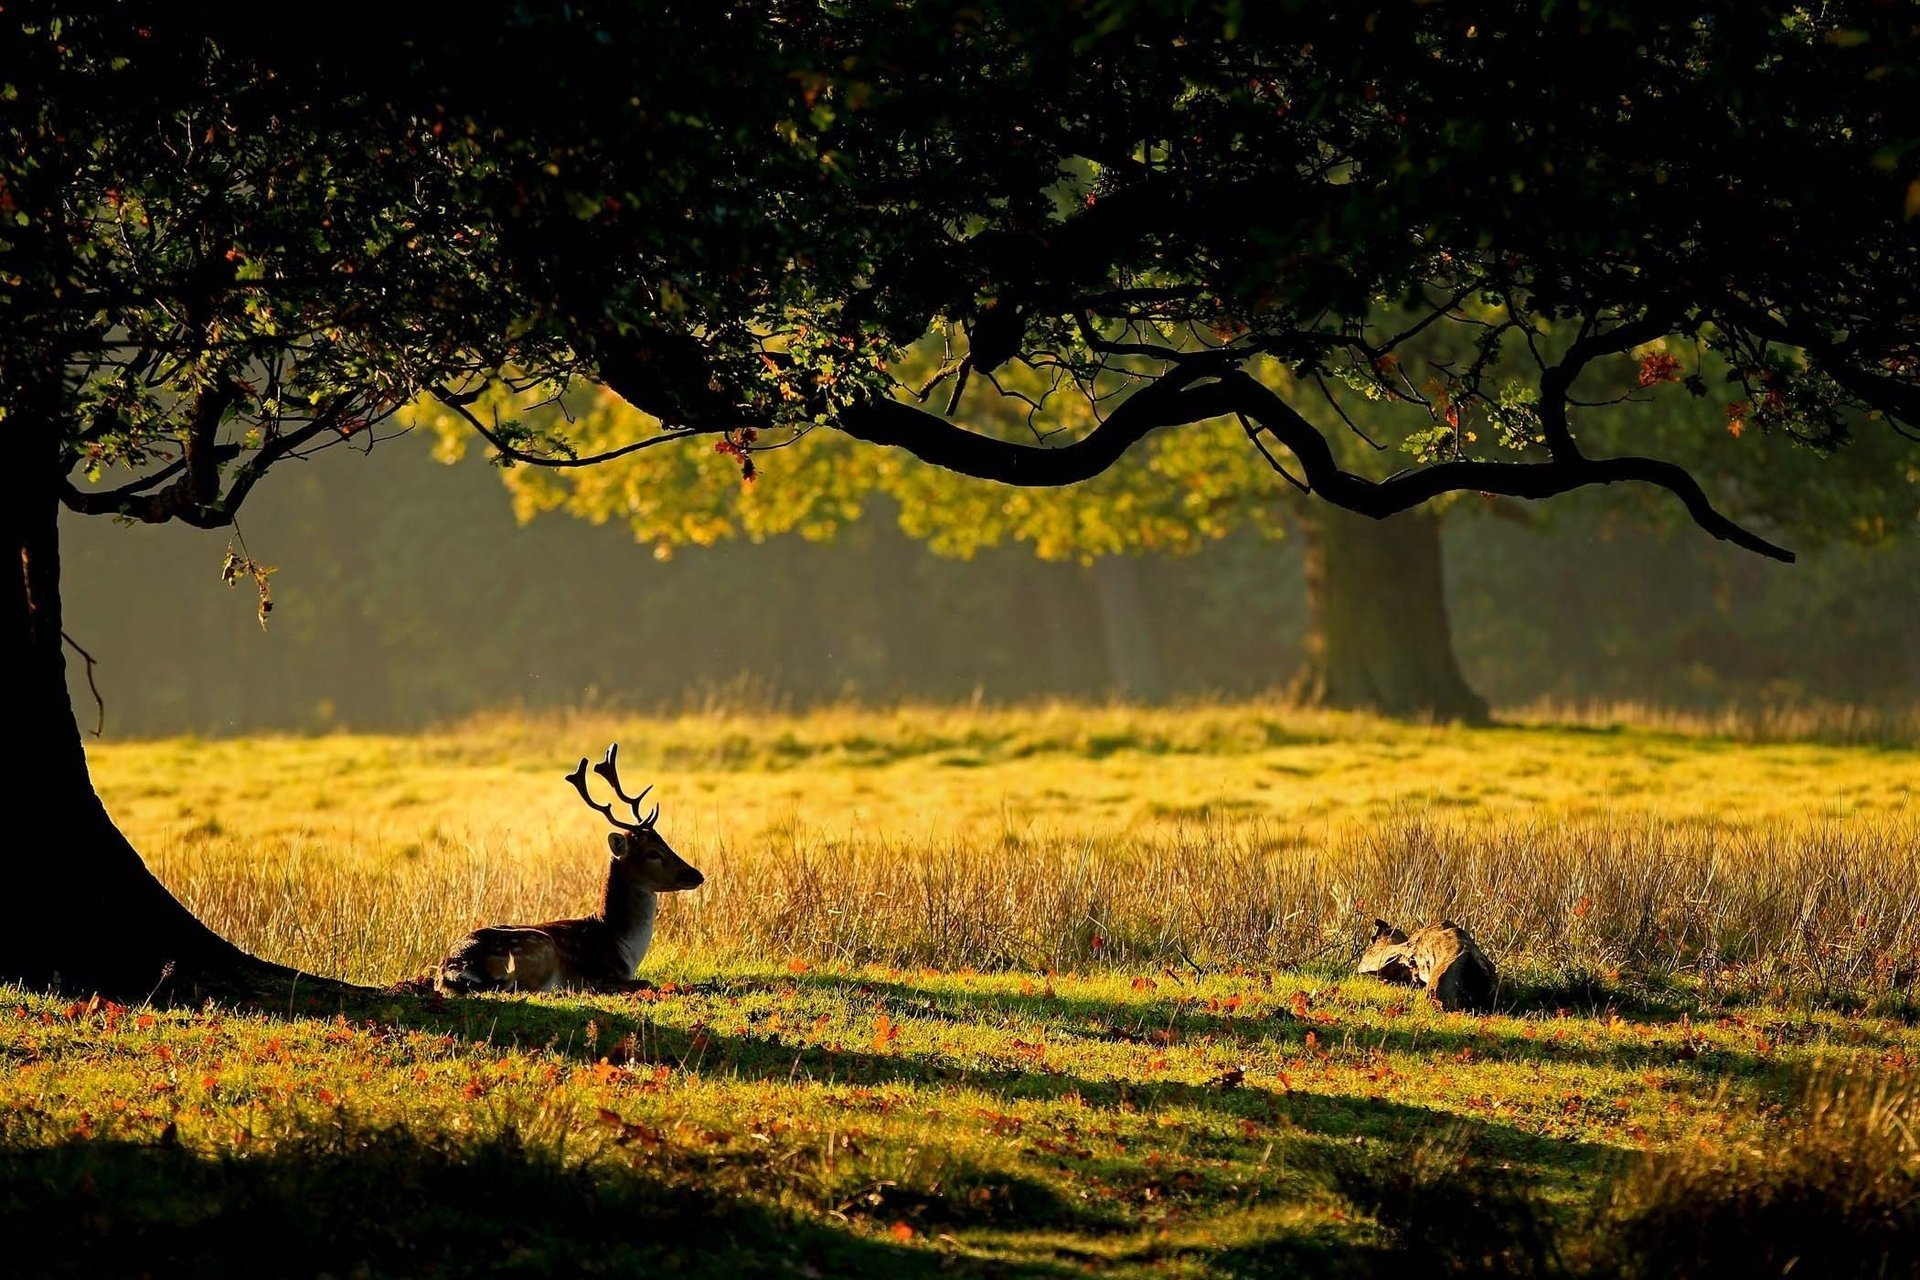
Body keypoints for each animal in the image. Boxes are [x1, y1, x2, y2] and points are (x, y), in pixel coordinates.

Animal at [436, 744, 703, 995]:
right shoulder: (600, 975)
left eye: (664, 842)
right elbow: (645, 982)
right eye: (652, 853)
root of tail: (452, 968)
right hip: (539, 946)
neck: (622, 946)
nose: (696, 874)